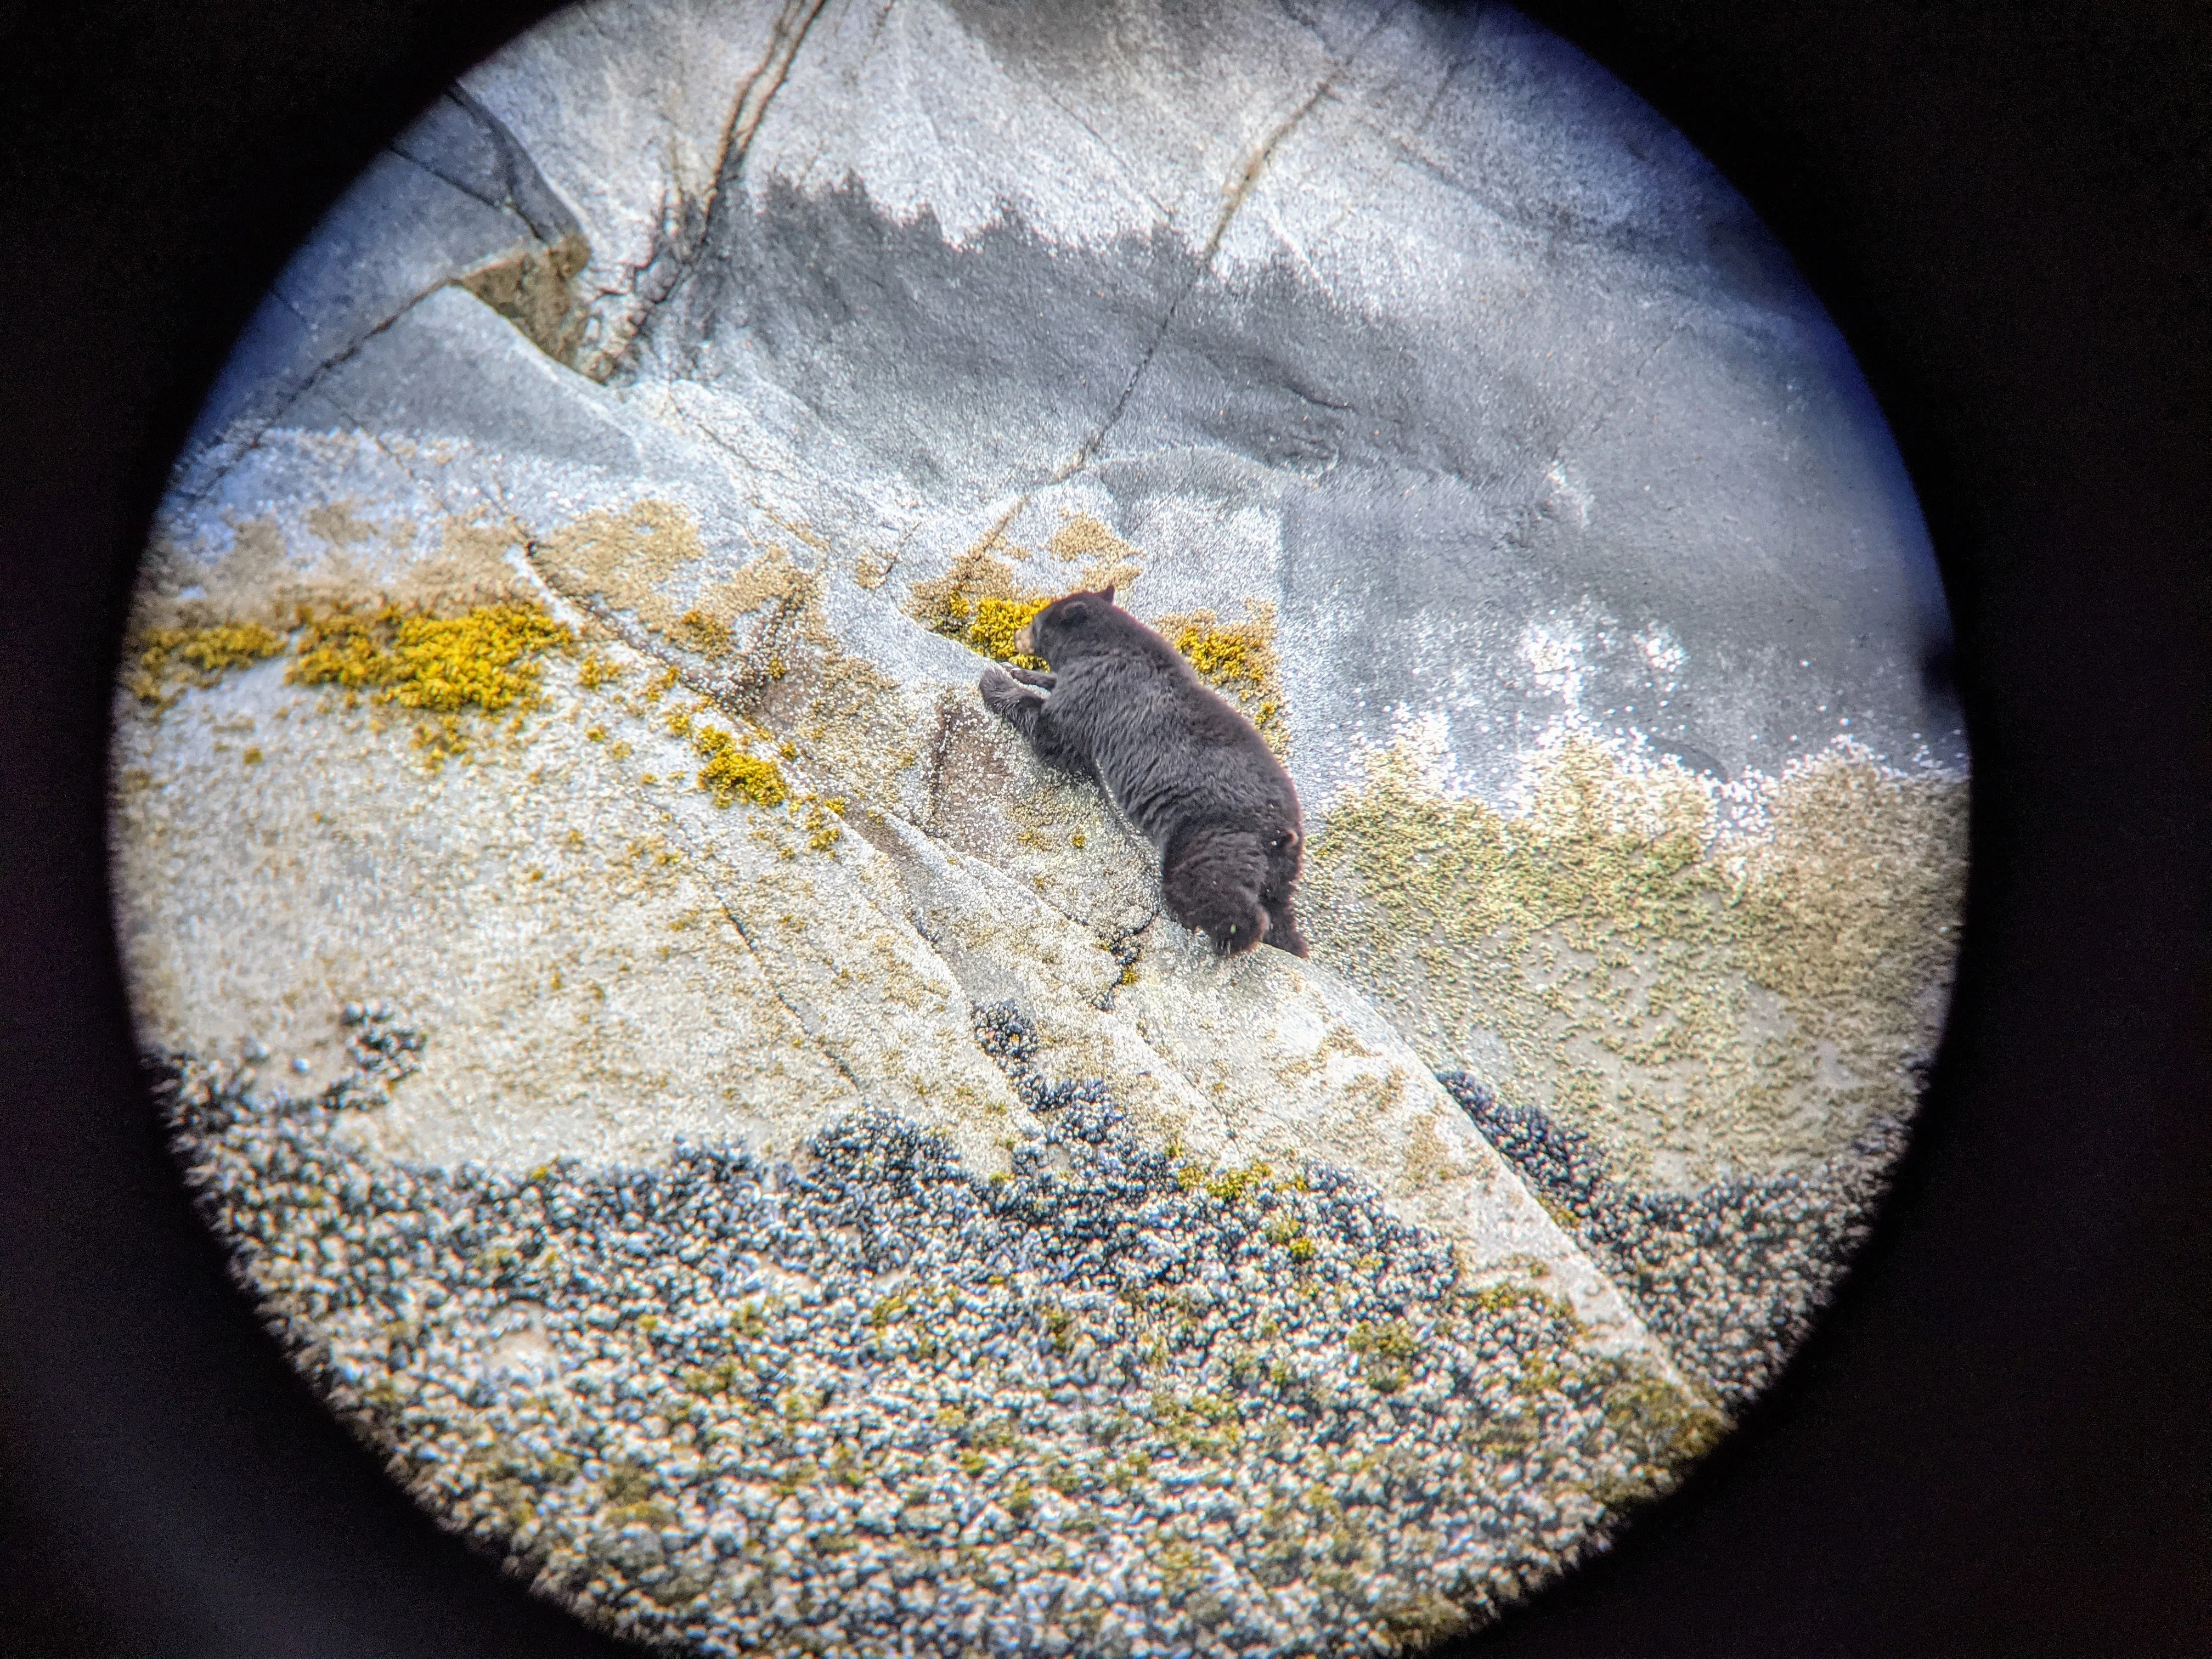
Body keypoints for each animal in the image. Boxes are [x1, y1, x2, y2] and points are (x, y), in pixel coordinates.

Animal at [977, 586, 1308, 958]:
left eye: (1035, 623)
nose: (1017, 636)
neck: (1102, 646)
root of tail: (1282, 829)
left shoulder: (1095, 692)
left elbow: (1057, 736)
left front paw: (996, 682)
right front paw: (1021, 672)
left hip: (1211, 834)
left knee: (1210, 884)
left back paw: (1222, 934)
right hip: (1280, 870)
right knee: (1280, 911)